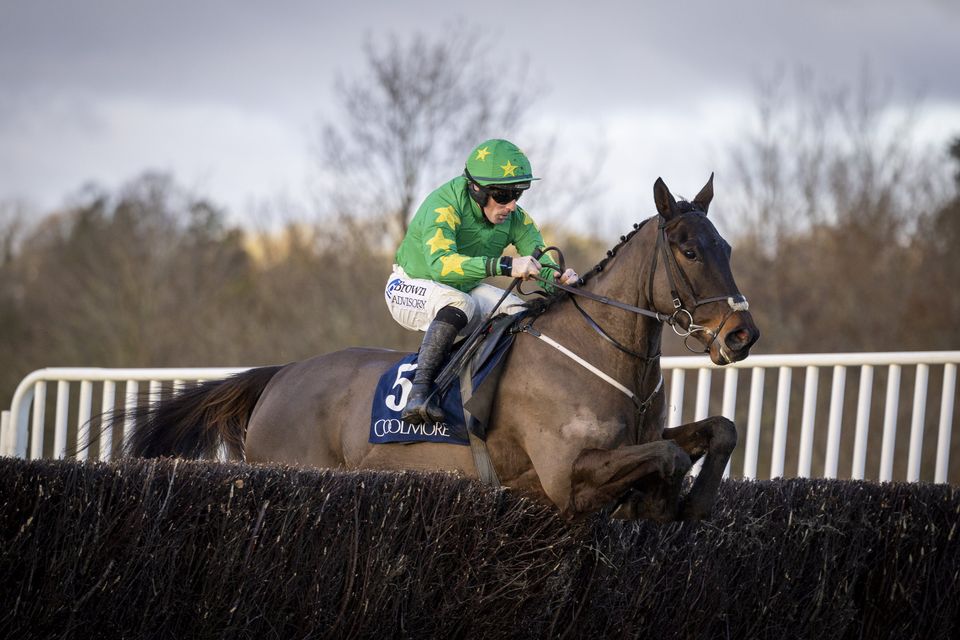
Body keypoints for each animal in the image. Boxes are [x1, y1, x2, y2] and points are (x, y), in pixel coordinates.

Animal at [125, 175, 756, 520]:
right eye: (688, 250)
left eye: (725, 246)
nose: (741, 334)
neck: (596, 352)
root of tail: (282, 376)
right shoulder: (565, 478)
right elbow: (669, 456)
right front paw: (658, 502)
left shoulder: (634, 441)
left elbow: (718, 429)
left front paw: (692, 504)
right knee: (452, 309)